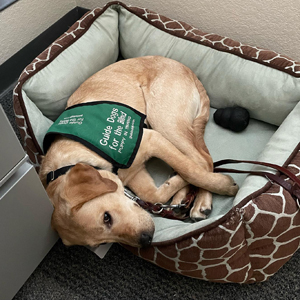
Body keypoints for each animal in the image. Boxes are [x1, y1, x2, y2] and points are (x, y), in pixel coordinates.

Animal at [38, 55, 238, 247]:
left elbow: (190, 170)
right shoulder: (135, 172)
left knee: (202, 161)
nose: (146, 240)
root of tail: (187, 69)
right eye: (103, 242)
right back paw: (181, 198)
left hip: (164, 121)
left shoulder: (151, 139)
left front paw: (223, 185)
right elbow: (154, 194)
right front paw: (175, 183)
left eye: (106, 217)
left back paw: (203, 199)